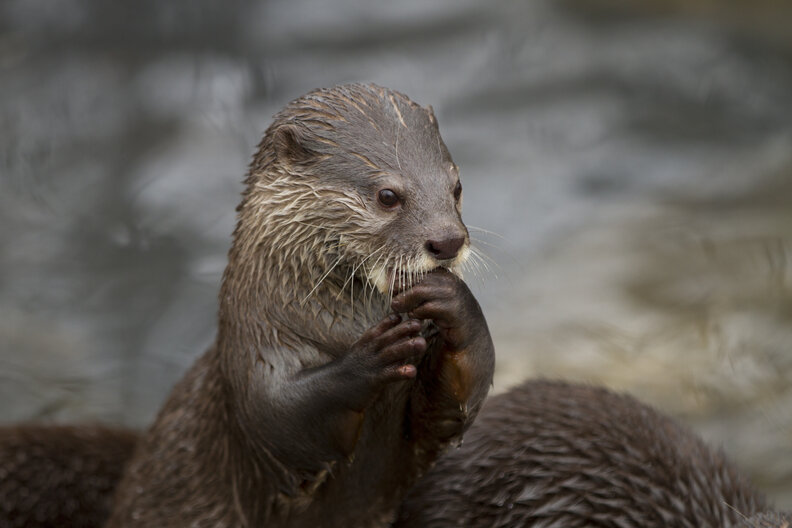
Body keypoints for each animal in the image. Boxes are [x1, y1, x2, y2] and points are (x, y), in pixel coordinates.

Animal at [103, 83, 496, 527]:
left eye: (457, 187)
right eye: (388, 195)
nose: (447, 241)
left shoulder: (426, 429)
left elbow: (461, 395)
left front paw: (452, 302)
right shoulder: (251, 359)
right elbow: (281, 418)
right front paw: (374, 356)